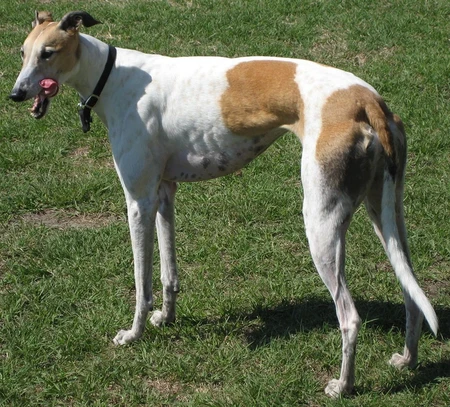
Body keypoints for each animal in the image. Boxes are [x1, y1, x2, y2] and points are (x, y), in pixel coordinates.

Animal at [9, 11, 438, 397]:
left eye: (48, 53)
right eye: (22, 52)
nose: (16, 94)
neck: (112, 76)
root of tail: (368, 99)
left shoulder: (138, 201)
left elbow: (141, 282)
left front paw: (133, 333)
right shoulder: (163, 194)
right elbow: (168, 272)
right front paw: (166, 317)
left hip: (321, 222)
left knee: (349, 317)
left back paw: (343, 386)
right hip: (386, 213)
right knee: (412, 291)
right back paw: (407, 360)